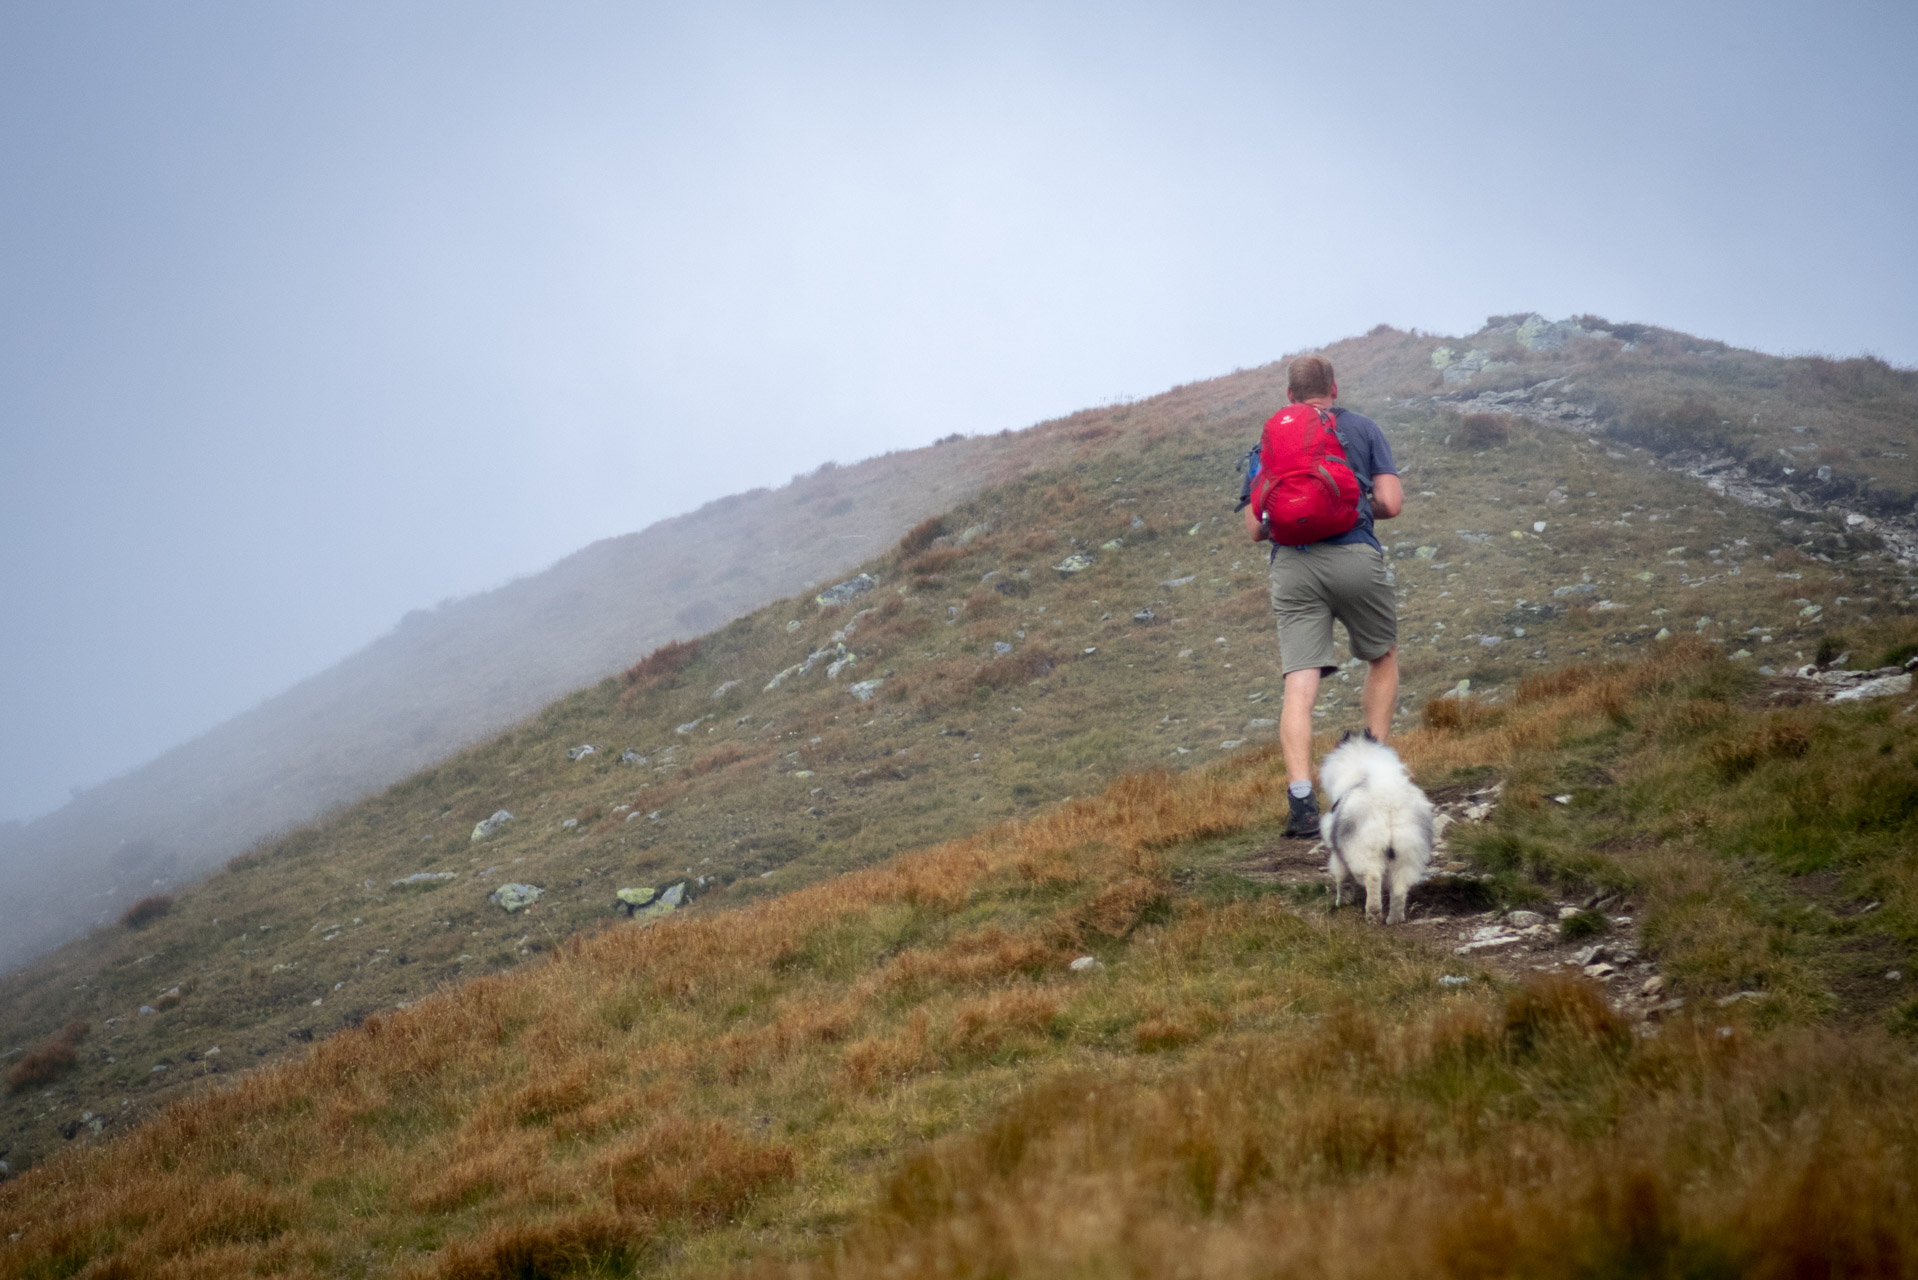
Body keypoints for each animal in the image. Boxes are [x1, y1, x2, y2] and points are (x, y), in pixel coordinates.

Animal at [1327, 729, 1434, 921]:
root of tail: (1389, 804)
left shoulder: (1338, 855)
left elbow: (1342, 881)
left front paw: (1341, 903)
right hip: (1407, 854)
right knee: (1399, 889)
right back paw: (1394, 919)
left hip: (1365, 852)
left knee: (1373, 879)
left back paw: (1373, 915)